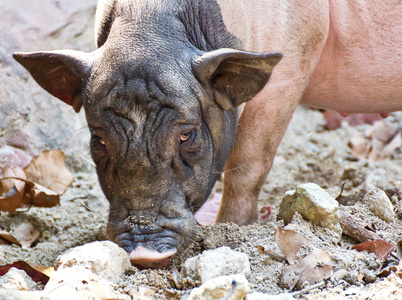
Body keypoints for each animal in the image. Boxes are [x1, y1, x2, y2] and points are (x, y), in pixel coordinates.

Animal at [13, 0, 402, 268]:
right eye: (99, 139)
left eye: (187, 135)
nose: (143, 252)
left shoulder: (294, 60)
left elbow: (249, 160)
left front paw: (230, 230)